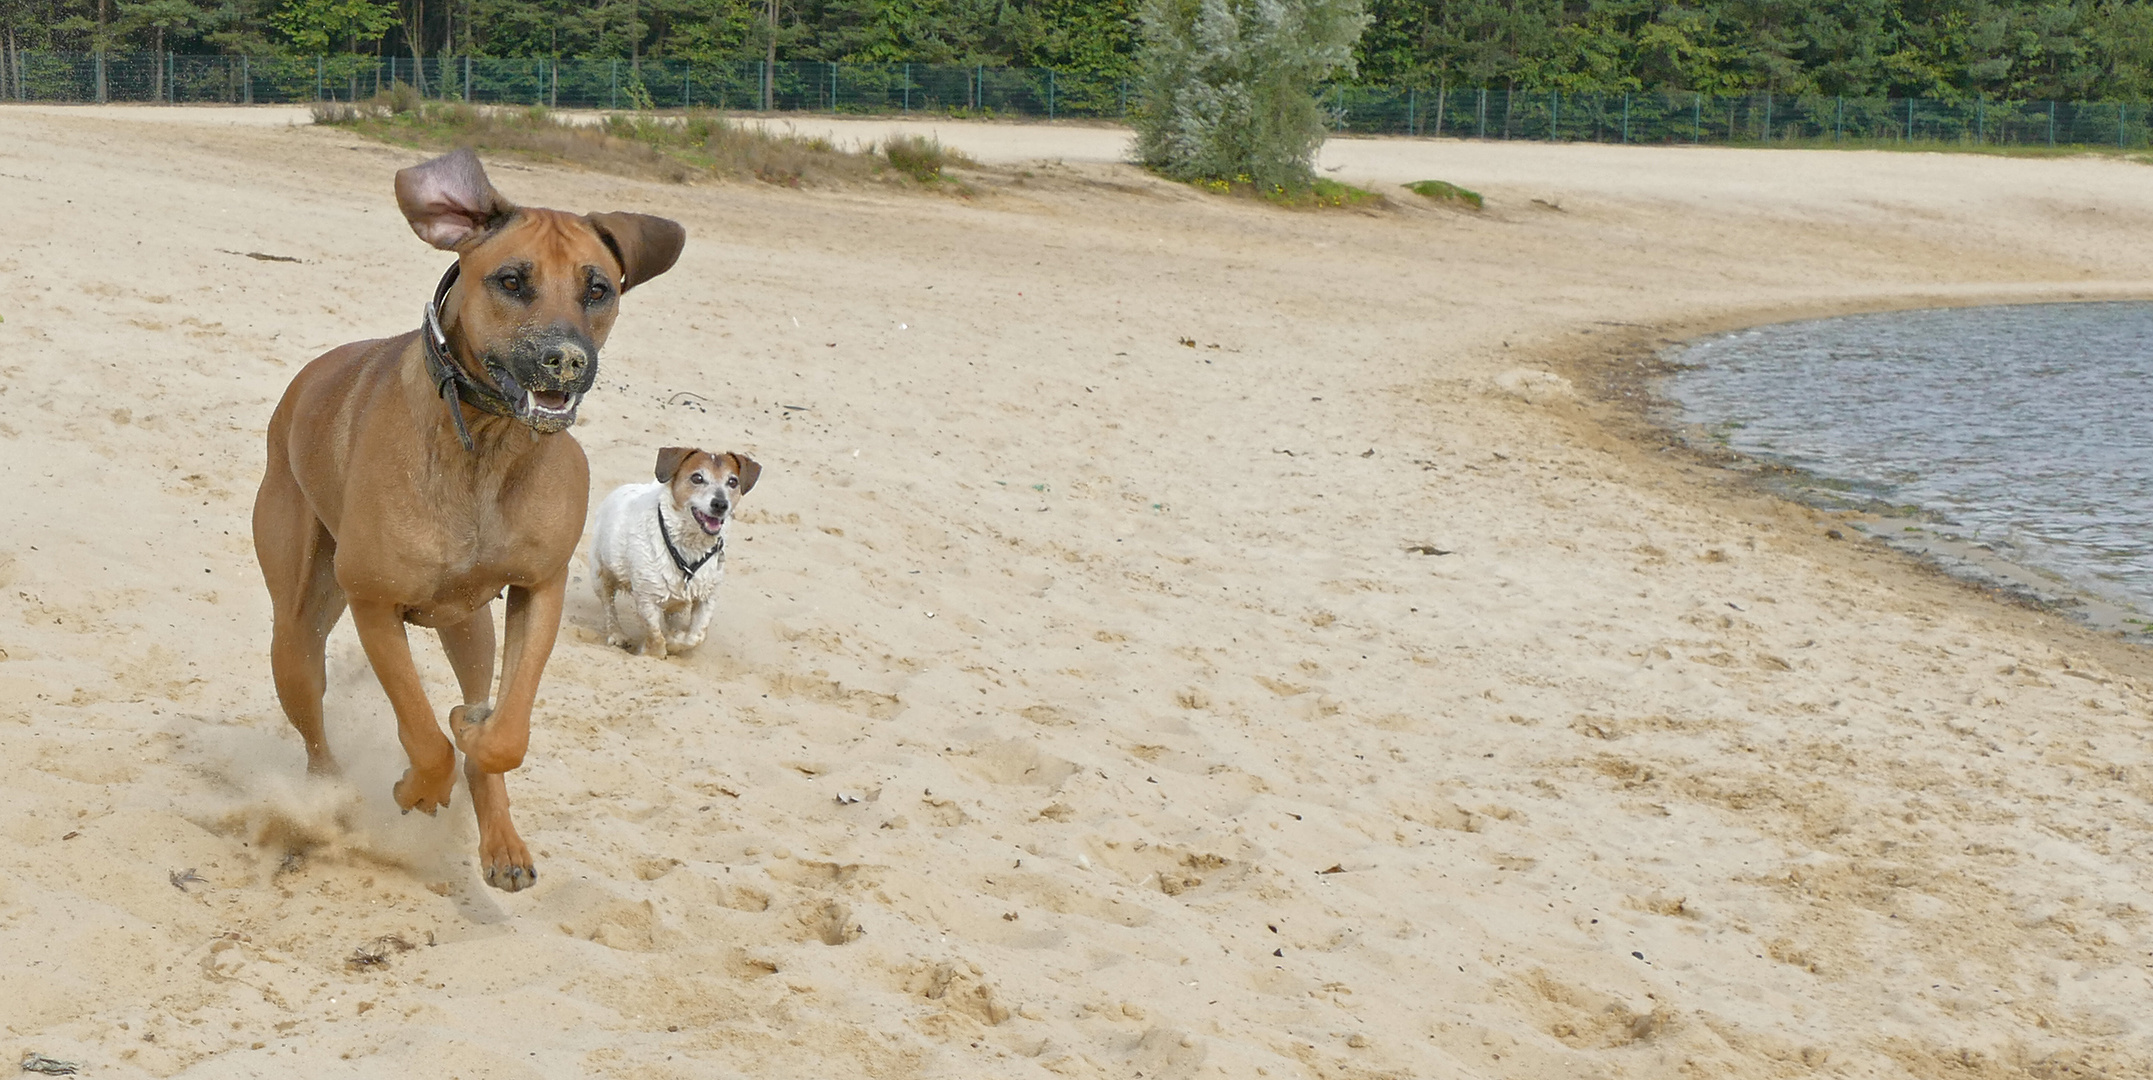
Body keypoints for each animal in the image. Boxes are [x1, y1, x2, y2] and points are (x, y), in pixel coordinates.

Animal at [255, 151, 684, 894]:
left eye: (598, 288)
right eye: (511, 281)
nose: (566, 359)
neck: (487, 444)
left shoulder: (538, 589)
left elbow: (501, 735)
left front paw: (476, 742)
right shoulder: (373, 603)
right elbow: (424, 734)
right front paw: (418, 788)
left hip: (469, 626)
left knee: (478, 697)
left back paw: (500, 837)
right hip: (297, 629)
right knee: (315, 731)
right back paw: (330, 799)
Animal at [585, 447, 762, 658]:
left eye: (733, 481)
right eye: (697, 478)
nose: (720, 504)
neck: (689, 547)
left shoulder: (707, 598)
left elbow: (695, 636)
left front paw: (677, 639)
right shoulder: (646, 599)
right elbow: (656, 636)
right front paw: (654, 650)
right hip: (600, 574)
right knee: (608, 605)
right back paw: (617, 634)